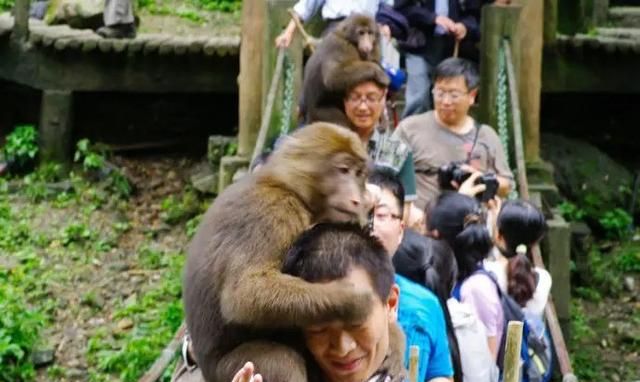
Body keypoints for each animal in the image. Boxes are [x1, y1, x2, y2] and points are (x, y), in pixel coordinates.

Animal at [185, 123, 380, 382]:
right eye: (343, 170)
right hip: (228, 370)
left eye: (359, 174)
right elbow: (244, 293)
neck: (288, 185)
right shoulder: (273, 211)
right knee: (280, 359)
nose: (359, 200)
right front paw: (353, 301)